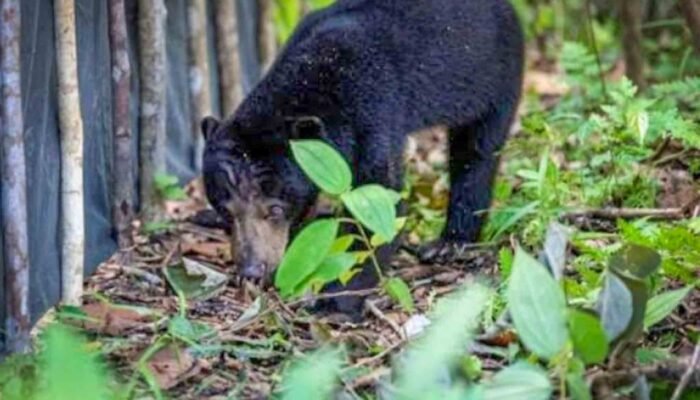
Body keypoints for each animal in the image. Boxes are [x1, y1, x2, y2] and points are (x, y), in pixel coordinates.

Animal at [200, 0, 524, 310]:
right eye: (226, 210)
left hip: (495, 76)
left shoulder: (374, 113)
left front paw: (335, 303)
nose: (251, 269)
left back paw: (449, 243)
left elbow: (379, 202)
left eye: (275, 209)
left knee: (476, 153)